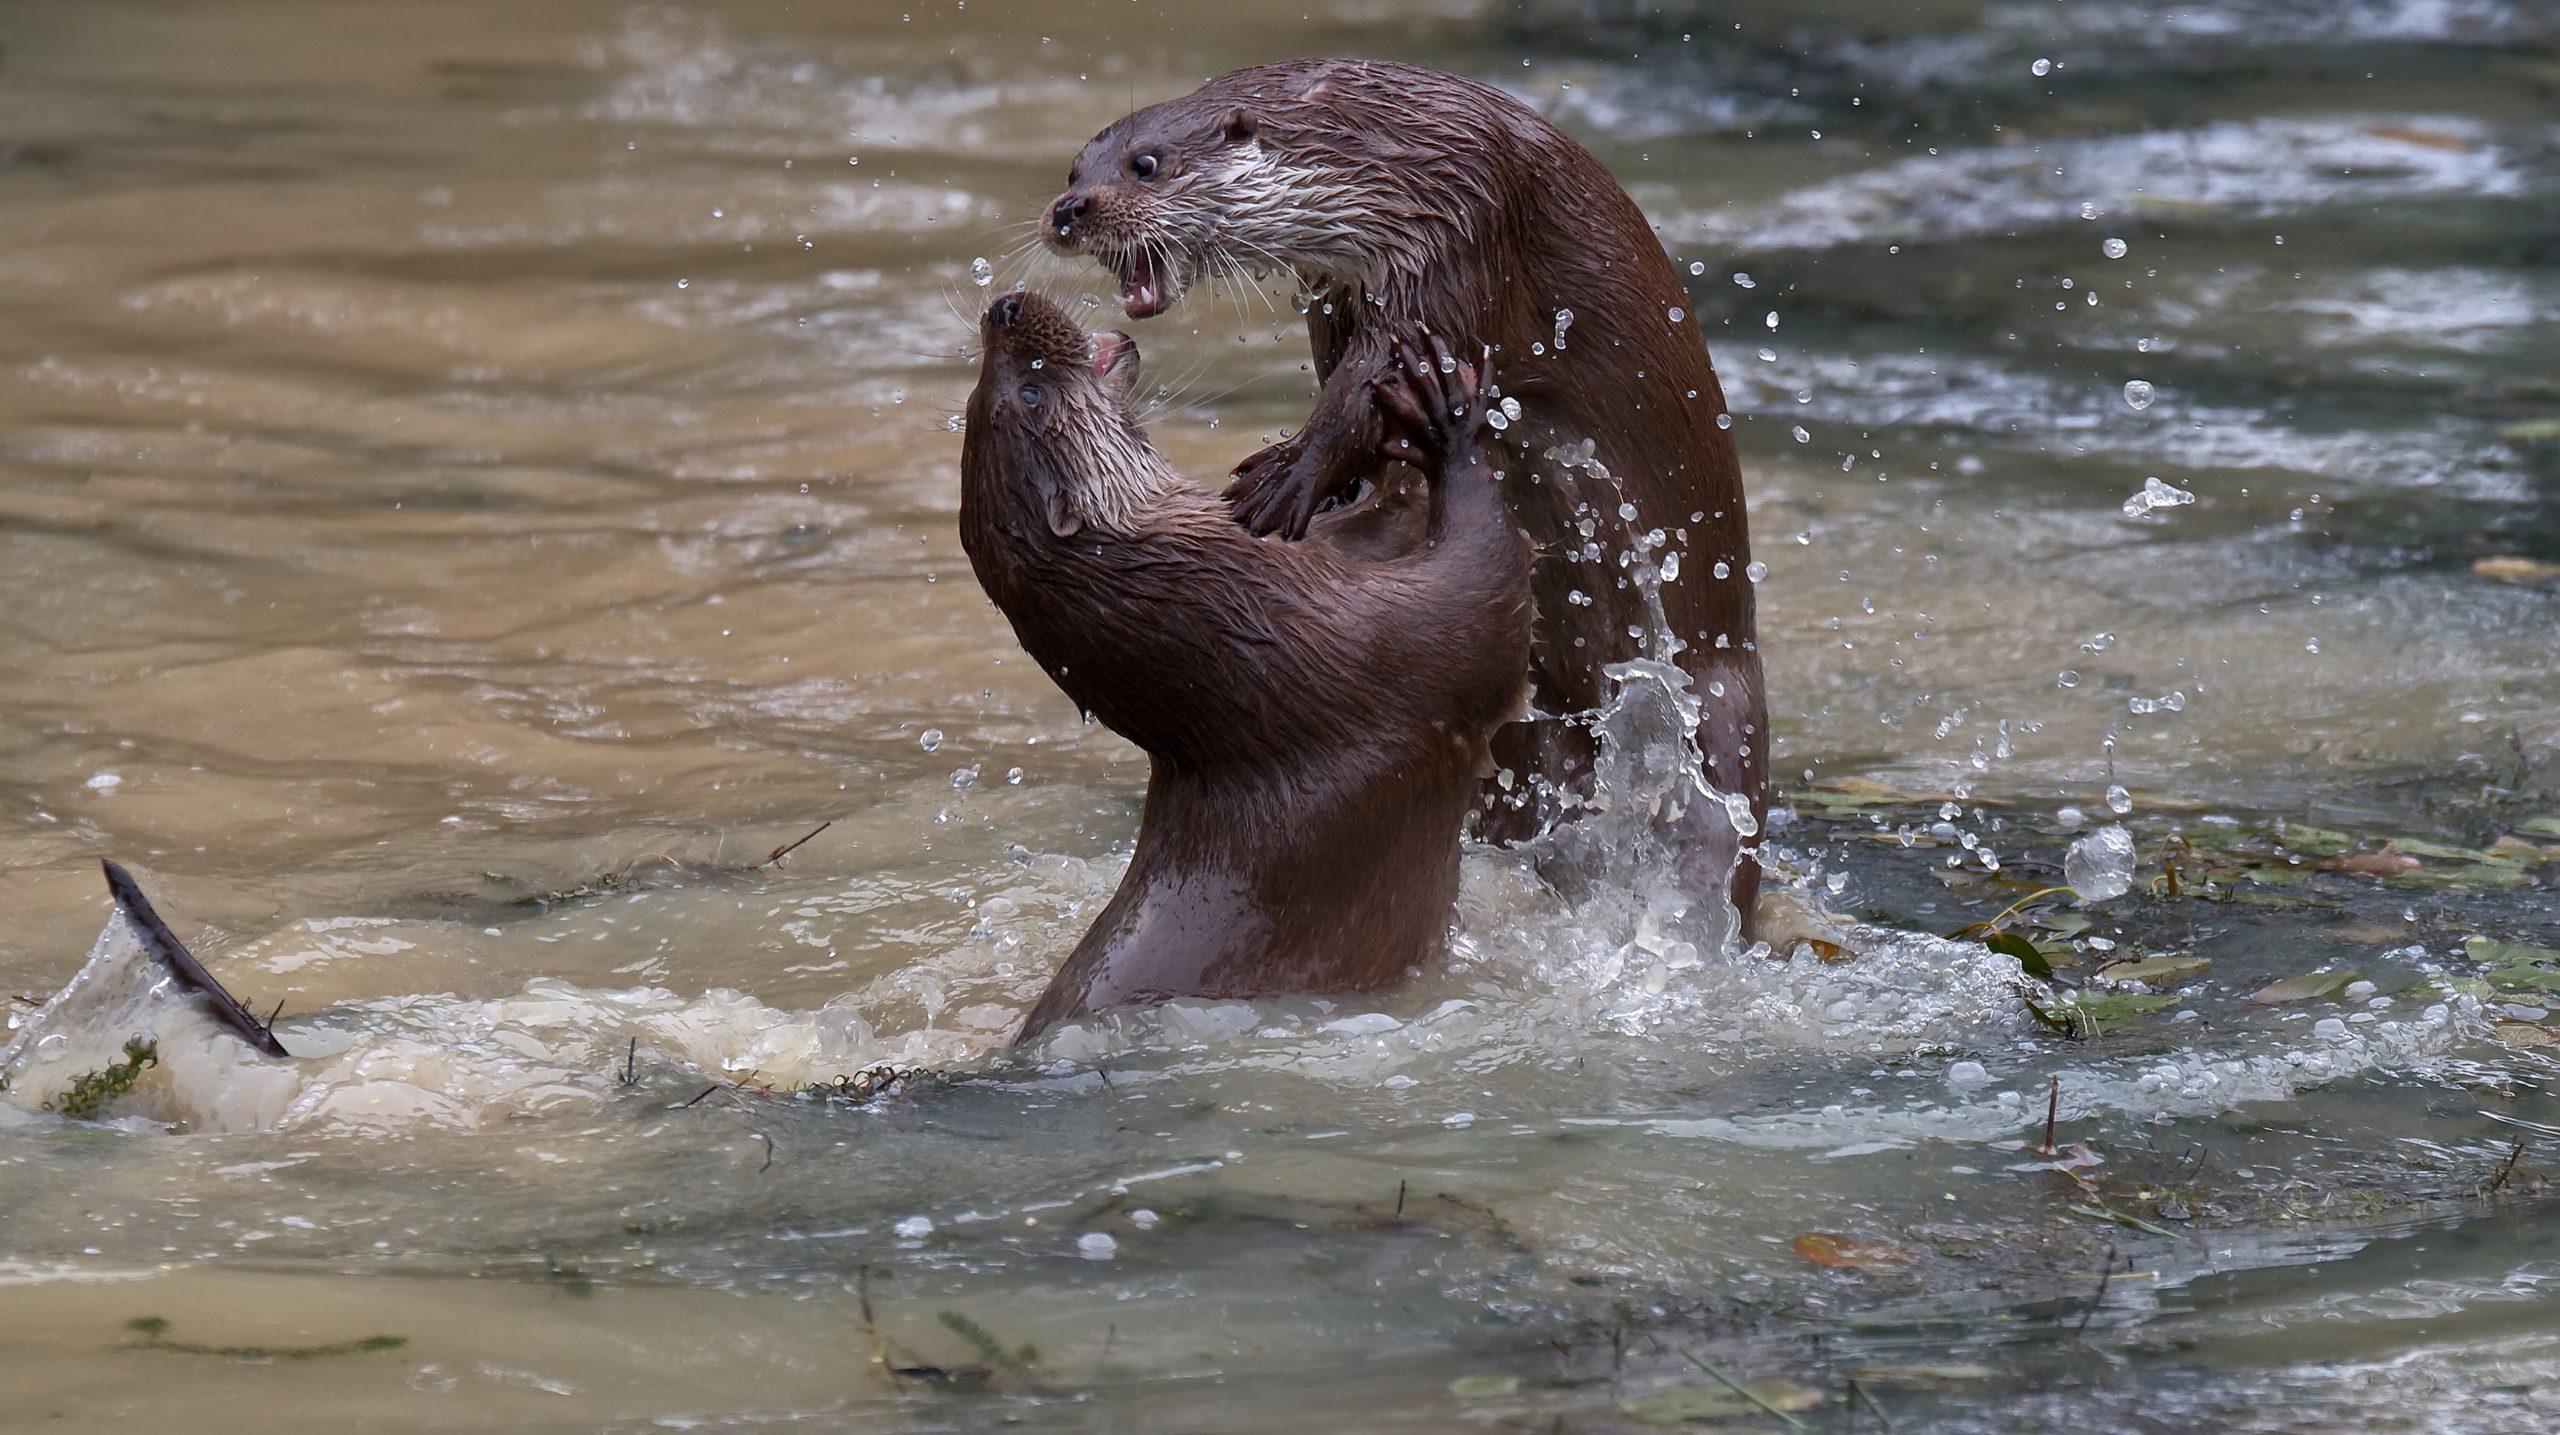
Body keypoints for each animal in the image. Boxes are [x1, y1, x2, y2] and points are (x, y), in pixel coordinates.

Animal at [958, 291, 1531, 1043]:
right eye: (1028, 392)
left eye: (978, 391)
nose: (1005, 305)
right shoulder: (1383, 646)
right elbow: (1487, 594)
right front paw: (1447, 418)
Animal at [1042, 59, 1767, 932]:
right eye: (1075, 169)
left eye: (1145, 164)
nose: (1068, 211)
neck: (1393, 155)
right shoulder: (1342, 287)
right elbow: (1351, 380)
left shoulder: (1459, 231)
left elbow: (1375, 381)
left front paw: (1289, 478)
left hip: (1720, 707)